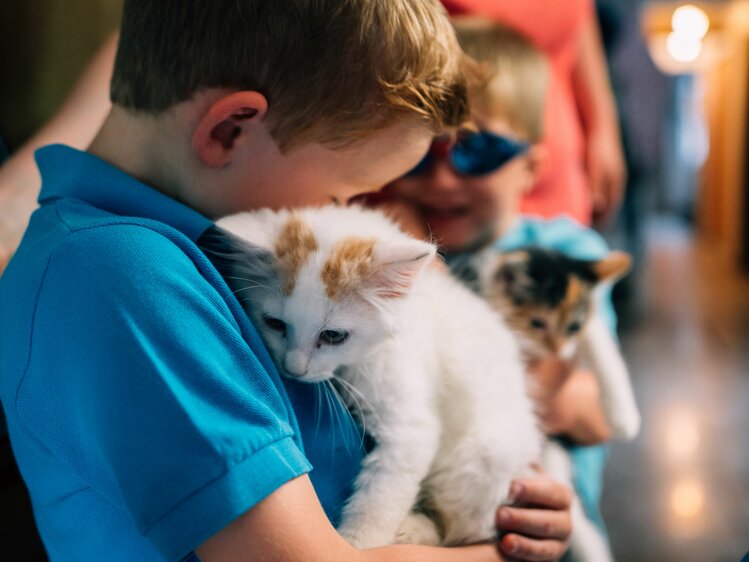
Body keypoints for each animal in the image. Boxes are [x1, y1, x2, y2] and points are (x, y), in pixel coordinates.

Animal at [213, 206, 540, 548]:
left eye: (333, 336)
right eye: (275, 324)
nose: (293, 368)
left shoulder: (410, 428)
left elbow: (377, 506)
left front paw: (359, 543)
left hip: (485, 458)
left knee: (463, 531)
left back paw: (414, 529)